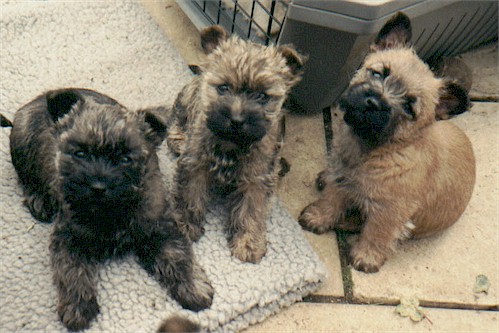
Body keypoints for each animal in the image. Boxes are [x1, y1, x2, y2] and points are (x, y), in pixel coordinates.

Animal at [9, 88, 213, 330]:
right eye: (80, 153)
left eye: (126, 158)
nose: (98, 187)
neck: (111, 211)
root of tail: (38, 100)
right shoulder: (68, 237)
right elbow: (72, 271)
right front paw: (77, 307)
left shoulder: (162, 228)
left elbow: (179, 256)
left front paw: (194, 287)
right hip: (23, 146)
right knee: (25, 176)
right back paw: (38, 199)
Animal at [296, 12, 476, 272]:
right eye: (379, 73)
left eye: (409, 106)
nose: (373, 102)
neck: (374, 150)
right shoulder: (342, 179)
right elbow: (332, 199)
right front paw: (319, 217)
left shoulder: (389, 210)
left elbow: (377, 232)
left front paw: (366, 256)